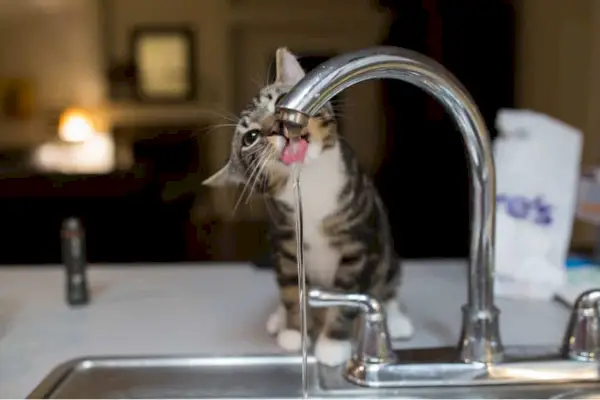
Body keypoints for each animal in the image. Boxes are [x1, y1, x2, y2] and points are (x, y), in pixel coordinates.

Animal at [204, 47, 414, 366]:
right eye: (251, 137)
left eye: (279, 102)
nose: (276, 127)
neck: (310, 183)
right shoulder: (286, 241)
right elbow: (292, 289)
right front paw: (293, 331)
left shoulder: (359, 241)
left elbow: (347, 295)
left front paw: (332, 343)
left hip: (386, 250)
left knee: (387, 283)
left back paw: (397, 319)